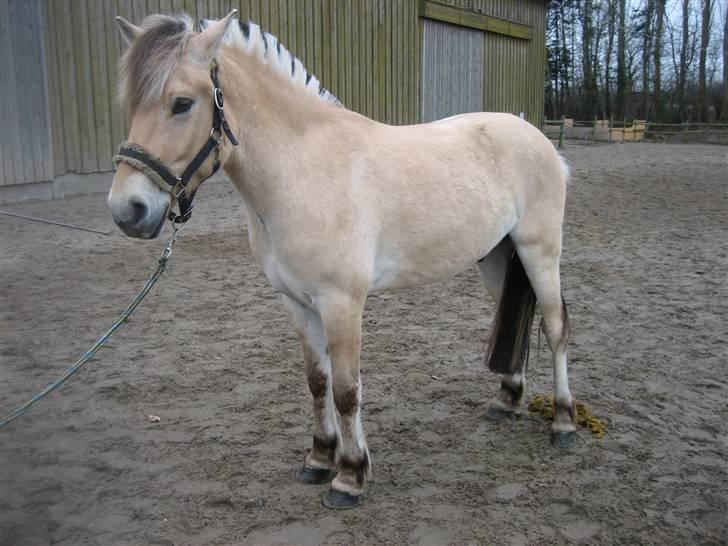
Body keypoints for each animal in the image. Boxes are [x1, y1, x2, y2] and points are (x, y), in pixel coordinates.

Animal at [108, 10, 576, 508]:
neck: (303, 169)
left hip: (539, 251)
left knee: (555, 326)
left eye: (181, 103)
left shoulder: (342, 304)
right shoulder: (297, 303)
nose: (127, 210)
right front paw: (318, 458)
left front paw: (350, 475)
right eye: (132, 104)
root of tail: (535, 135)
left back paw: (564, 422)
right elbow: (318, 381)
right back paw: (506, 401)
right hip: (497, 259)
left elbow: (348, 390)